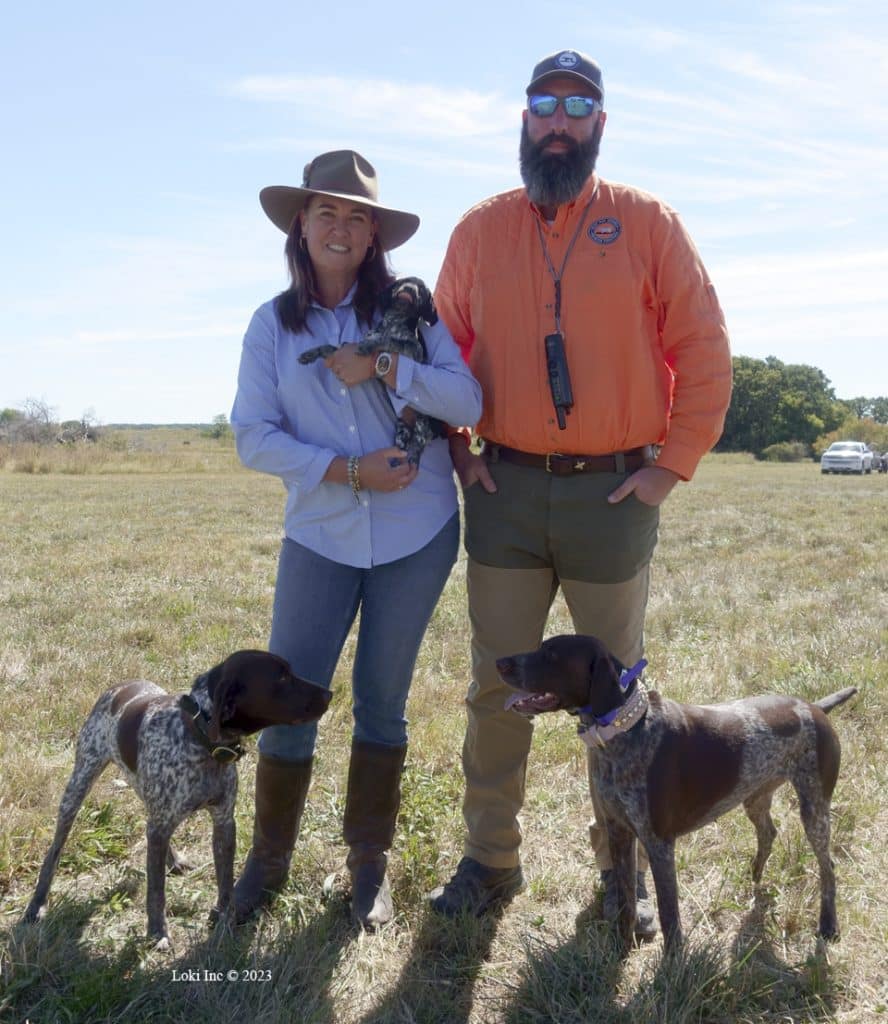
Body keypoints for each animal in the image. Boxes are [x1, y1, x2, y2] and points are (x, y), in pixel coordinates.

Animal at [23, 651, 329, 946]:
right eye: (281, 678)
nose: (330, 694)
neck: (203, 743)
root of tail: (119, 686)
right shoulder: (162, 825)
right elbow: (156, 889)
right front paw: (157, 932)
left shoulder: (223, 822)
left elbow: (225, 883)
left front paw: (226, 922)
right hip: (79, 785)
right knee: (54, 852)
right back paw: (36, 903)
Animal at [495, 630, 856, 950]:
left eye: (552, 655)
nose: (500, 662)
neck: (624, 729)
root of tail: (814, 708)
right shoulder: (619, 832)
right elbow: (625, 902)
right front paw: (620, 948)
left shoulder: (659, 844)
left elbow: (670, 917)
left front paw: (671, 968)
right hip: (755, 797)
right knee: (769, 832)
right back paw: (754, 876)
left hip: (814, 808)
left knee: (828, 865)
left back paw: (829, 925)